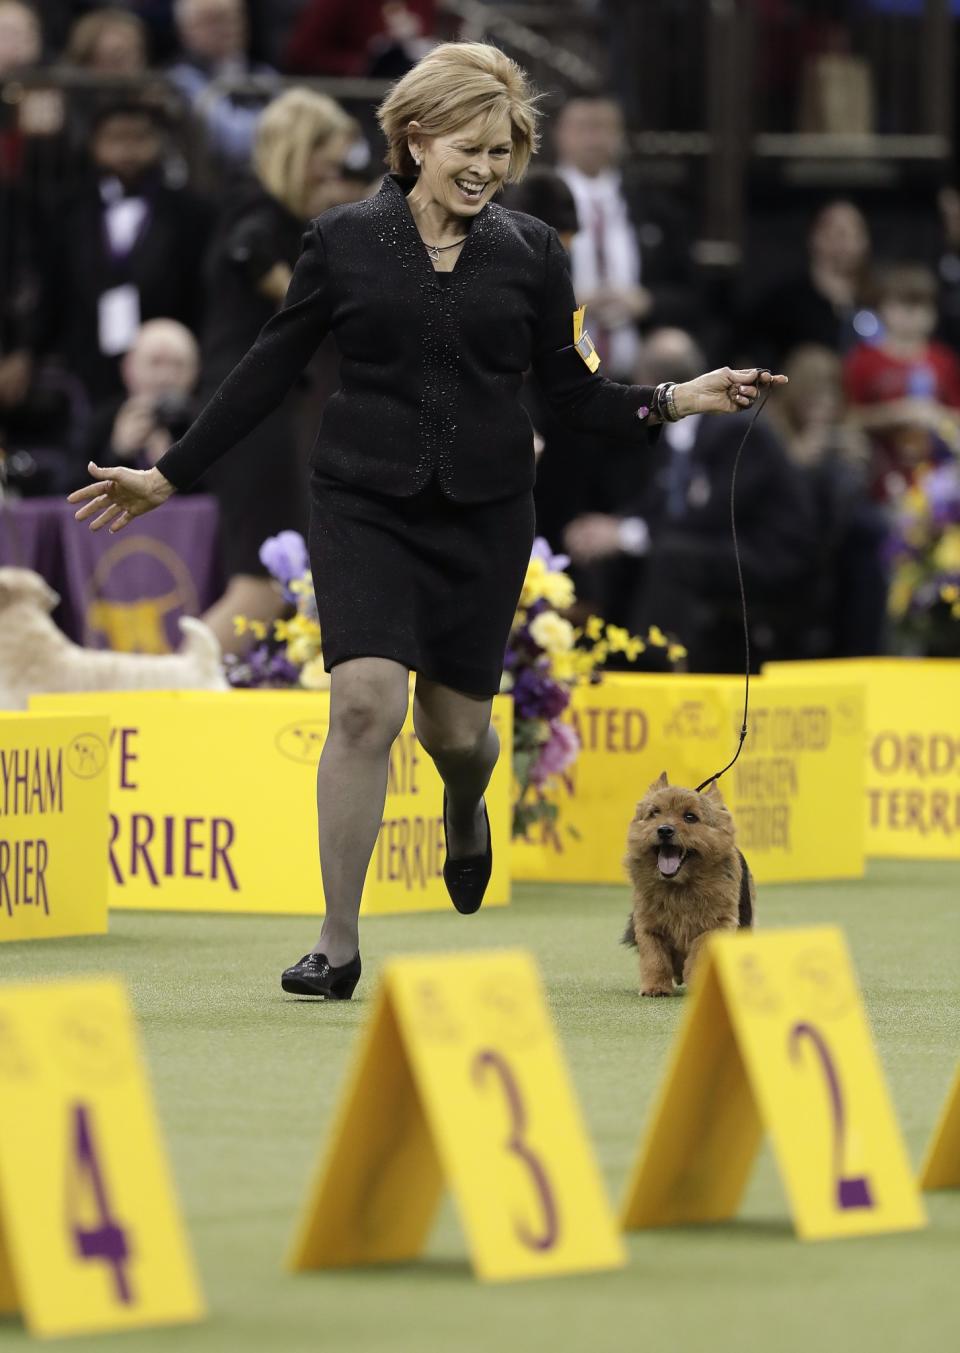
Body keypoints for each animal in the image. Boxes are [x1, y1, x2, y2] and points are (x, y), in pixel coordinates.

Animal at [624, 773, 757, 995]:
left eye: (690, 817)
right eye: (655, 813)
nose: (664, 830)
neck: (679, 887)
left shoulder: (716, 924)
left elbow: (699, 953)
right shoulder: (648, 925)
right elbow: (654, 958)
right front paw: (655, 987)